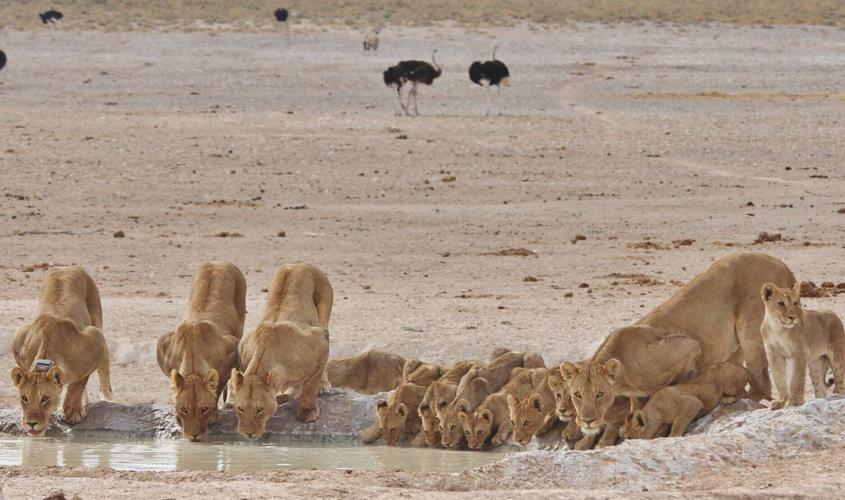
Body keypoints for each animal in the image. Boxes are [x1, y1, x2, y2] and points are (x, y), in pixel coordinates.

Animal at [10, 266, 112, 437]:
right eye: (24, 398)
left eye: (45, 398)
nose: (31, 423)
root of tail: (67, 267)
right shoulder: (19, 339)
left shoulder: (95, 338)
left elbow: (78, 383)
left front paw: (73, 411)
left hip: (97, 319)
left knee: (104, 367)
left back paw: (107, 398)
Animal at [156, 262, 246, 441]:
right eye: (184, 409)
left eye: (204, 409)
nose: (194, 436)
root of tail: (220, 262)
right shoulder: (163, 344)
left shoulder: (232, 349)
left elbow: (218, 386)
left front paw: (214, 416)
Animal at [230, 262, 332, 439]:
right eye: (240, 409)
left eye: (260, 409)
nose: (247, 434)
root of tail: (299, 263)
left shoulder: (320, 341)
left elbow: (311, 385)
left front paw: (308, 412)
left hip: (324, 311)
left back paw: (323, 386)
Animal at [621, 362, 751, 440]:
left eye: (629, 438)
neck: (657, 411)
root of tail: (745, 369)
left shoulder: (692, 403)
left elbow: (679, 423)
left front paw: (673, 436)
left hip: (726, 382)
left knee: (743, 393)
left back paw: (728, 399)